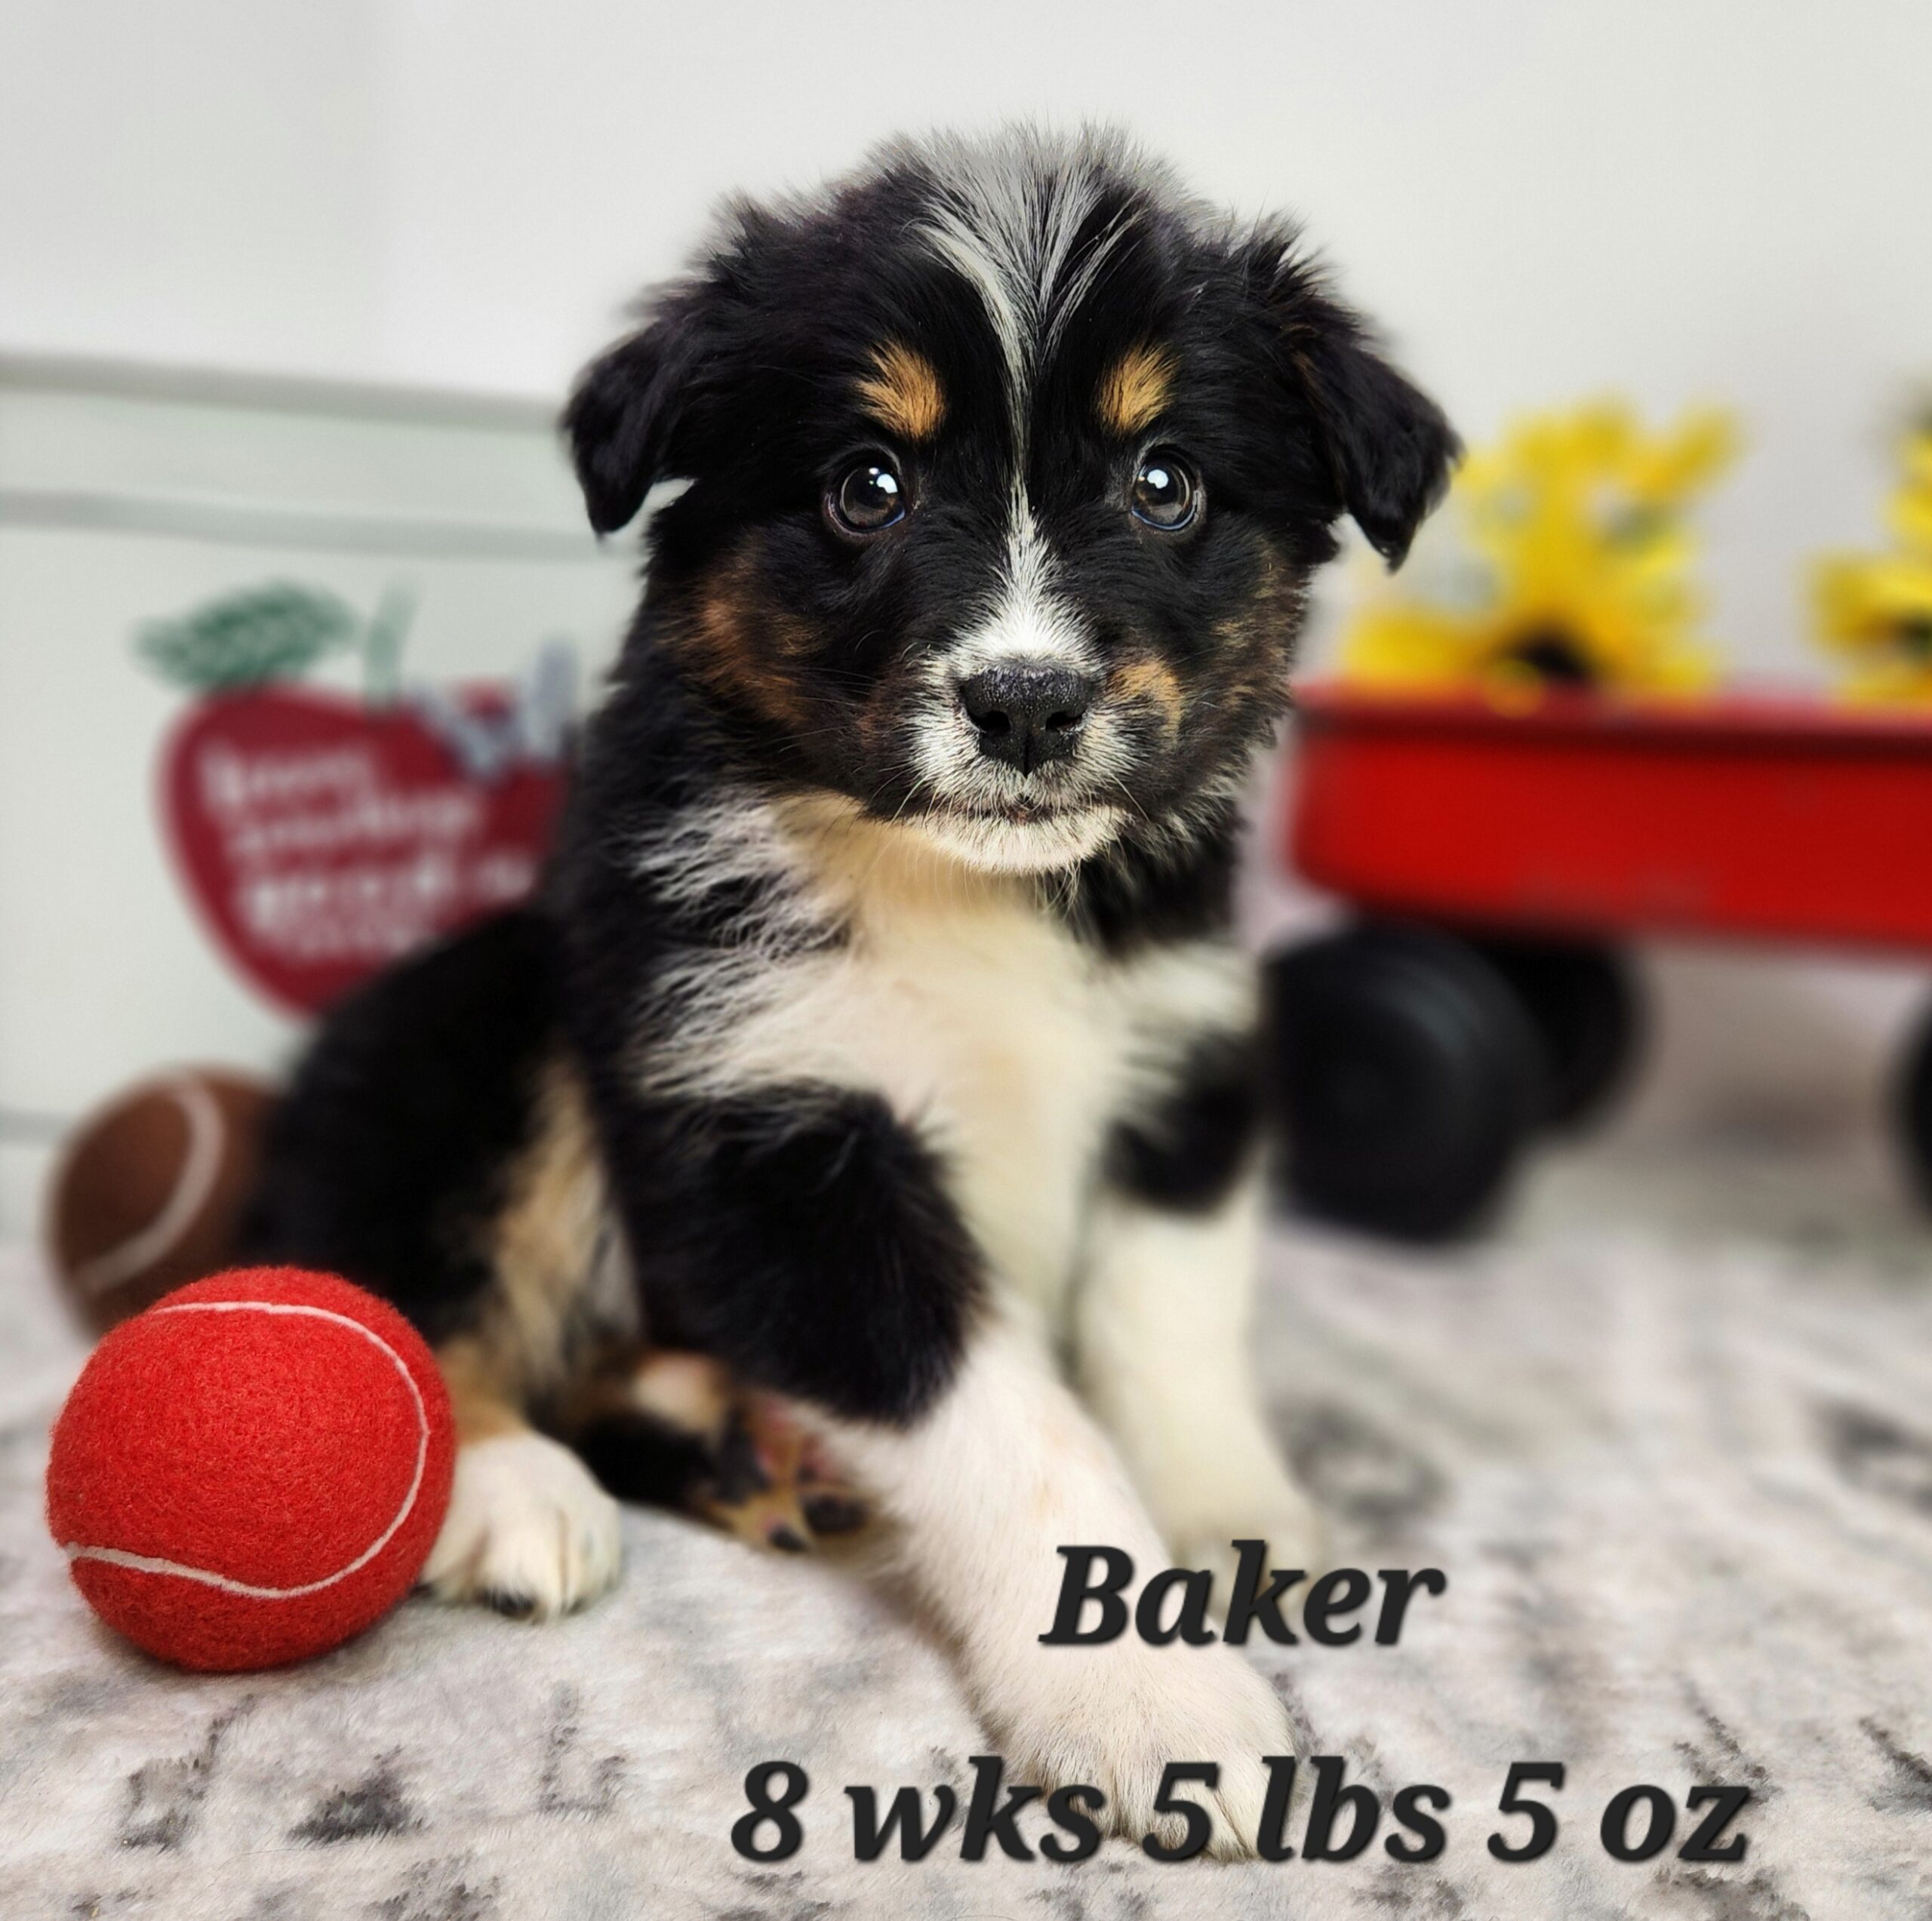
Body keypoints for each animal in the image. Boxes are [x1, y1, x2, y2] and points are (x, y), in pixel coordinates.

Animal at [242, 123, 1453, 1861]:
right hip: (483, 1033)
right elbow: (1008, 1418)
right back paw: (515, 1493)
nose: (1025, 702)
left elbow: (1169, 1321)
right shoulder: (773, 1126)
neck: (963, 888)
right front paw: (1152, 1701)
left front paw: (1233, 1522)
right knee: (407, 1297)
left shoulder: (1181, 1059)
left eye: (1164, 482)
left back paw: (746, 1443)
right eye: (864, 486)